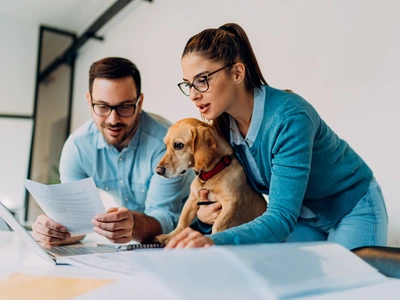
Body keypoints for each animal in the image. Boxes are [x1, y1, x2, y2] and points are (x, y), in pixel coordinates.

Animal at [155, 116, 268, 244]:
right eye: (165, 146)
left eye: (178, 145)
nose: (158, 171)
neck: (212, 173)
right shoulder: (192, 200)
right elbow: (182, 222)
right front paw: (170, 236)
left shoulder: (232, 202)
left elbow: (218, 225)